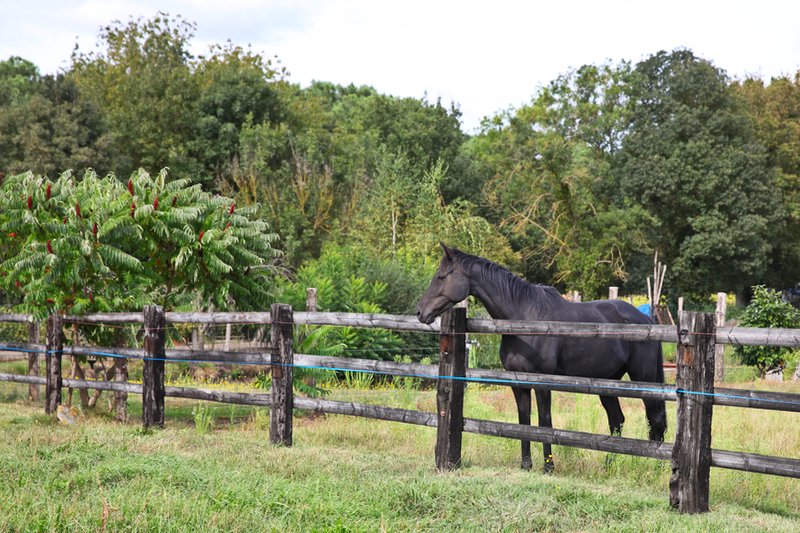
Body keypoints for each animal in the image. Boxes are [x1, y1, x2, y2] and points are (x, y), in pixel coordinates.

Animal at [416, 243, 666, 473]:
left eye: (441, 276)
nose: (420, 312)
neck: (524, 319)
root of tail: (646, 320)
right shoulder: (518, 382)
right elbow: (524, 421)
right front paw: (526, 465)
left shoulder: (542, 381)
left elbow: (544, 421)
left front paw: (549, 467)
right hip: (608, 382)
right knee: (617, 420)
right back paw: (609, 465)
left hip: (644, 378)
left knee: (655, 418)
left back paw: (656, 467)